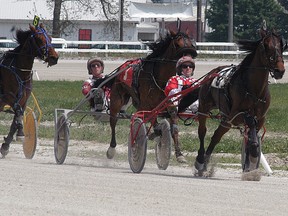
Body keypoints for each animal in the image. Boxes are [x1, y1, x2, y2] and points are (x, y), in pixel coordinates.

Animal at [0, 23, 58, 157]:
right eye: (39, 39)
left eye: (50, 38)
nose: (54, 57)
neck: (20, 72)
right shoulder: (8, 96)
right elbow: (18, 112)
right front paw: (21, 132)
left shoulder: (24, 99)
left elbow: (17, 119)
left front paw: (6, 146)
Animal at [106, 29, 198, 162]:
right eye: (177, 44)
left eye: (191, 44)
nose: (187, 62)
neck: (160, 79)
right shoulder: (146, 106)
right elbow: (148, 124)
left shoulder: (169, 105)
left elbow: (174, 128)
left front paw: (179, 154)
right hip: (117, 99)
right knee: (113, 121)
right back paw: (111, 149)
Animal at [190, 26, 286, 176]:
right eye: (266, 45)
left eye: (282, 45)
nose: (279, 70)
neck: (254, 89)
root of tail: (213, 72)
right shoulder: (235, 116)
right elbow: (249, 124)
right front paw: (253, 153)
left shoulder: (261, 118)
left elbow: (251, 137)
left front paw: (249, 163)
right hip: (205, 109)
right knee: (203, 131)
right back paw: (200, 161)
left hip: (225, 119)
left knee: (217, 135)